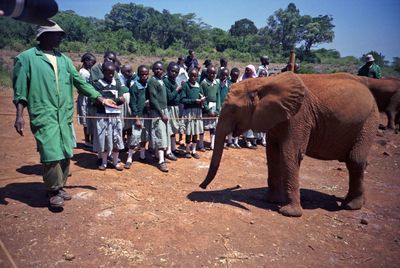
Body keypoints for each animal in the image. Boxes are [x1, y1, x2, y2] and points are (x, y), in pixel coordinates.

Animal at [200, 72, 378, 217]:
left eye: (233, 109)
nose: (202, 186)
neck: (262, 82)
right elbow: (272, 154)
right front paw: (271, 200)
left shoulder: (298, 116)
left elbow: (290, 154)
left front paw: (288, 212)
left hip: (368, 121)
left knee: (355, 160)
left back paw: (351, 206)